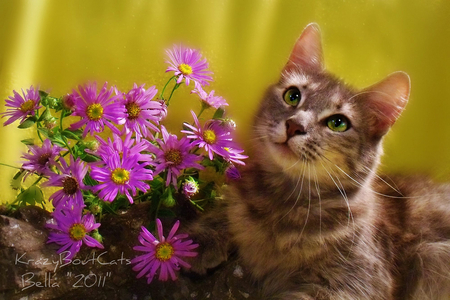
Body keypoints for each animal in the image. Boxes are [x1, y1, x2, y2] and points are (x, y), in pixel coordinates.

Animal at [185, 23, 450, 300]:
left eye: (338, 123)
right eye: (292, 96)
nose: (294, 125)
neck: (283, 200)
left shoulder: (357, 280)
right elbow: (227, 209)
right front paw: (196, 240)